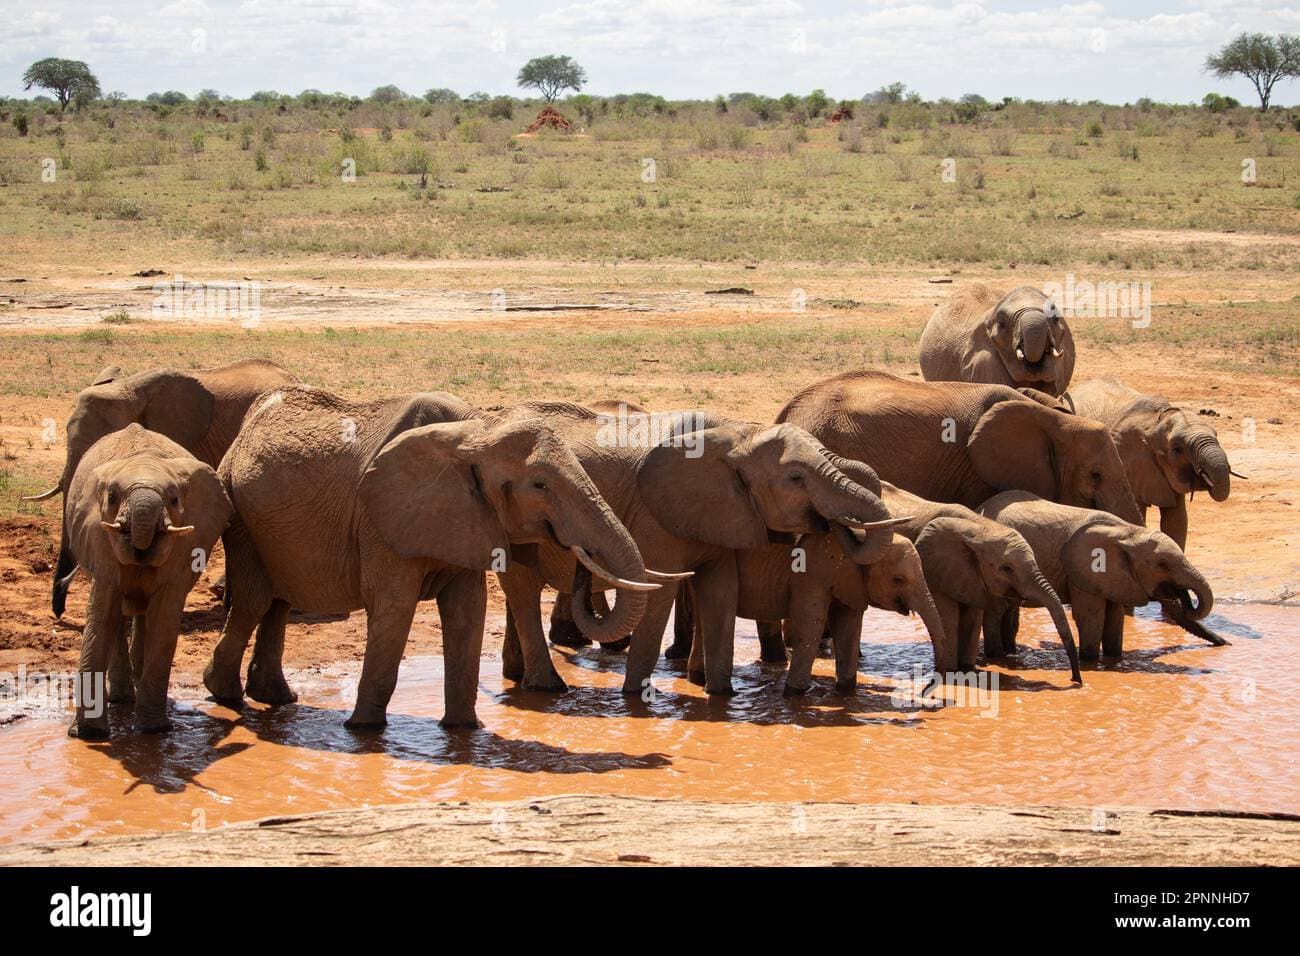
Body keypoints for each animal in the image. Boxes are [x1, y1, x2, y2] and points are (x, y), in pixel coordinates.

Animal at [63, 424, 231, 738]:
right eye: (112, 497)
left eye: (175, 500)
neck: (143, 460)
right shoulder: (97, 534)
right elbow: (102, 612)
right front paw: (88, 735)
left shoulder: (186, 542)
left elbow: (164, 617)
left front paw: (152, 731)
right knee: (118, 615)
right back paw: (121, 698)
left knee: (143, 614)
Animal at [204, 386, 657, 729]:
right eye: (540, 485)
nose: (579, 556)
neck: (476, 432)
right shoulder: (380, 518)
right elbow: (394, 605)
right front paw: (364, 731)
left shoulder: (469, 518)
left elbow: (467, 608)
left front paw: (463, 731)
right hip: (239, 514)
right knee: (255, 601)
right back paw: (226, 696)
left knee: (278, 602)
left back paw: (275, 698)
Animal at [494, 402, 906, 698]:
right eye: (795, 478)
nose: (835, 524)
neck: (738, 433)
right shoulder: (655, 517)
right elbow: (659, 594)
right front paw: (634, 699)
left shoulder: (722, 514)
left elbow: (720, 591)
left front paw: (721, 696)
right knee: (523, 591)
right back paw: (548, 688)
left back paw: (516, 677)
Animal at [978, 491, 1220, 660]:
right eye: (1162, 564)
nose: (1223, 644)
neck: (1128, 532)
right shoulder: (1080, 571)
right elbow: (1091, 614)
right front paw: (1091, 661)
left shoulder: (1115, 577)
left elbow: (1115, 616)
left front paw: (1114, 660)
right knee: (997, 610)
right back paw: (998, 656)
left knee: (1009, 608)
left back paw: (1011, 654)